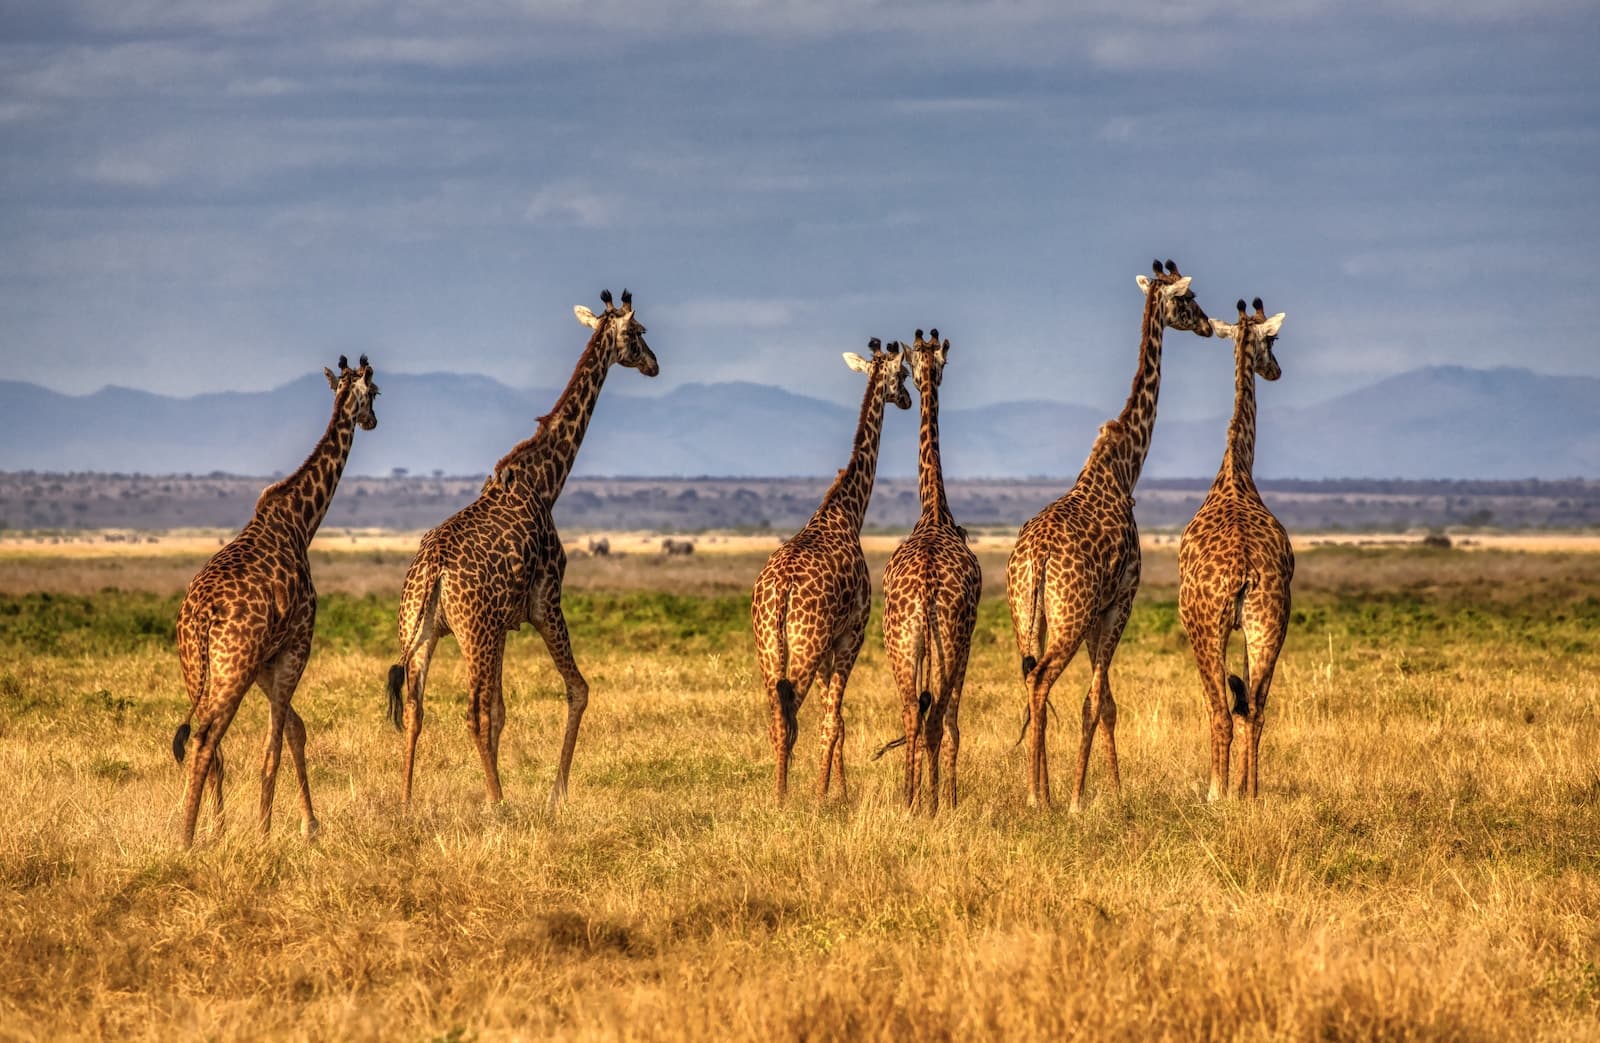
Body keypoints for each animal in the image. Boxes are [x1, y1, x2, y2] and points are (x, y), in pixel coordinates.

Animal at [171, 355, 379, 847]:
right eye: (377, 392)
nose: (373, 421)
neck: (302, 521)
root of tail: (200, 616)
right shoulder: (297, 643)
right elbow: (275, 745)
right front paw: (266, 833)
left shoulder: (266, 659)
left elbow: (294, 731)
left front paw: (307, 824)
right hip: (232, 665)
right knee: (206, 738)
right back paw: (187, 838)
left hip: (197, 667)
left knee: (211, 745)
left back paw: (212, 828)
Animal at [387, 289, 657, 810]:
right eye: (638, 333)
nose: (654, 365)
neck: (544, 482)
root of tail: (432, 573)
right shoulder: (544, 601)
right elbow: (577, 690)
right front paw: (556, 793)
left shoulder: (504, 623)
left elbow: (502, 710)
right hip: (472, 633)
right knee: (470, 711)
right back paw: (499, 803)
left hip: (421, 631)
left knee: (415, 708)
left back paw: (408, 801)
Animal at [751, 339, 911, 801]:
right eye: (903, 374)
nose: (908, 400)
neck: (846, 512)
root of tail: (781, 590)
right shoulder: (851, 634)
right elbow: (834, 720)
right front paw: (827, 795)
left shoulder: (827, 647)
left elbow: (834, 719)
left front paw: (837, 788)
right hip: (804, 644)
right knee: (791, 715)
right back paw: (785, 797)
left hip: (769, 647)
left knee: (777, 718)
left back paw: (780, 792)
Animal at [1007, 260, 1215, 810]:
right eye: (1189, 300)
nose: (1209, 326)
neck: (1124, 469)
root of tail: (1035, 559)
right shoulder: (1121, 598)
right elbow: (1098, 700)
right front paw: (1090, 798)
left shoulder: (1098, 611)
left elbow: (1104, 702)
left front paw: (1107, 789)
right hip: (1070, 615)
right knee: (1042, 681)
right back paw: (1040, 798)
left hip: (1028, 616)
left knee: (1031, 682)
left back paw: (1039, 791)